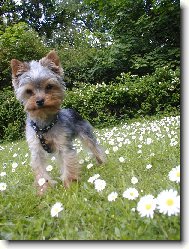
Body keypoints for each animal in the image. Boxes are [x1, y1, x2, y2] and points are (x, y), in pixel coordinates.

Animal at [10, 50, 105, 195]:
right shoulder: (36, 150)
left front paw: (70, 187)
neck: (43, 124)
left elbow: (68, 164)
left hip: (86, 134)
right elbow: (40, 172)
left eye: (49, 86)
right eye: (28, 91)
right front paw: (44, 190)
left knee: (94, 147)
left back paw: (102, 162)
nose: (39, 101)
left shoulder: (63, 145)